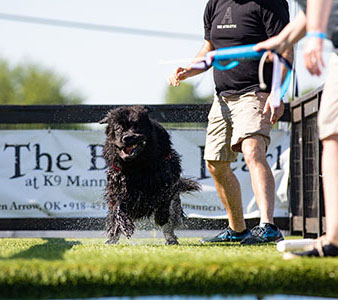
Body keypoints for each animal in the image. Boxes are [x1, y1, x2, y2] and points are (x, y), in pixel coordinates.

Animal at [100, 105, 201, 244]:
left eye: (136, 126)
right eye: (118, 128)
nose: (127, 138)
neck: (137, 165)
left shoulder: (166, 182)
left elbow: (164, 202)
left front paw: (161, 218)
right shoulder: (117, 184)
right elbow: (118, 206)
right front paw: (125, 225)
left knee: (171, 217)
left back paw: (170, 237)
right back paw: (111, 240)